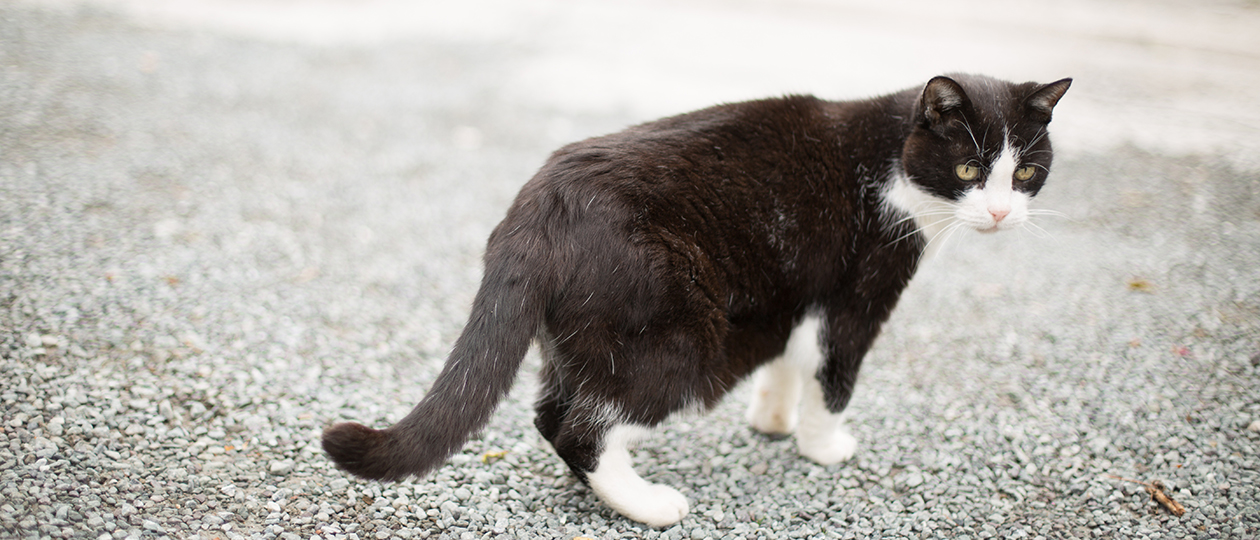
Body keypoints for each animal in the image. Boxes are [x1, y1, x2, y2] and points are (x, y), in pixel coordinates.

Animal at [320, 74, 1068, 526]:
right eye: (969, 169)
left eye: (1027, 172)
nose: (1001, 213)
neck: (889, 161)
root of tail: (537, 207)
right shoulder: (860, 292)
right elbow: (834, 375)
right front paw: (823, 446)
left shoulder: (795, 292)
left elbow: (790, 358)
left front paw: (773, 420)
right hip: (684, 339)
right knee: (580, 425)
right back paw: (648, 505)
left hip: (585, 335)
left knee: (553, 410)